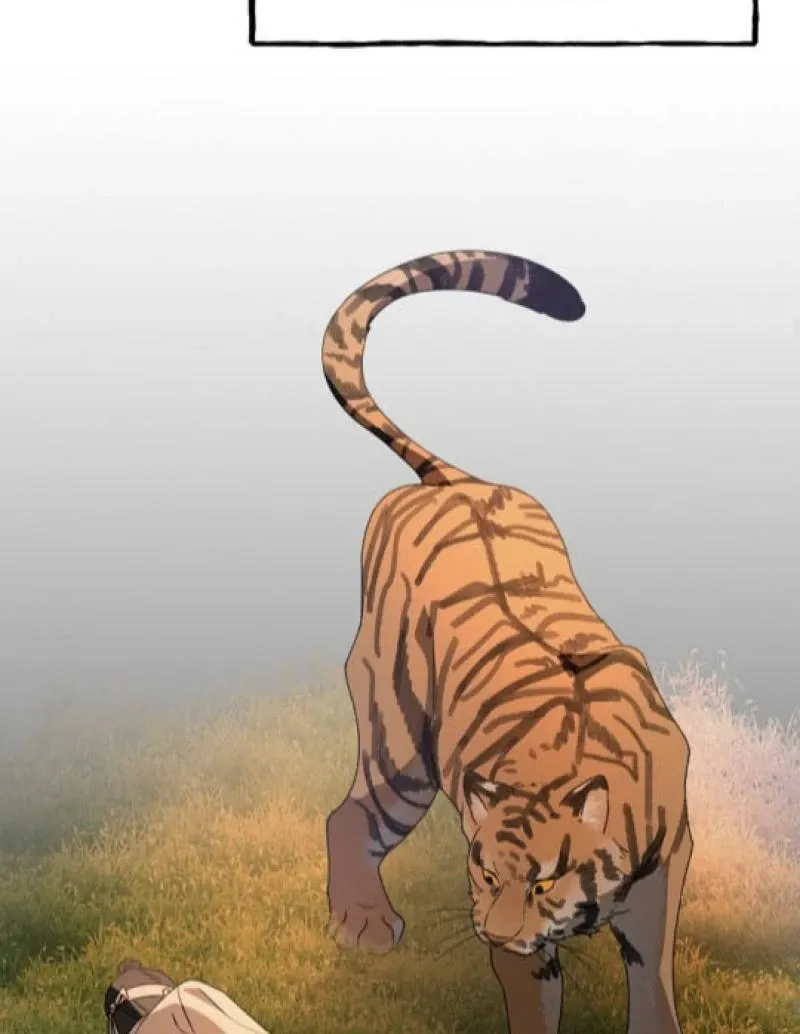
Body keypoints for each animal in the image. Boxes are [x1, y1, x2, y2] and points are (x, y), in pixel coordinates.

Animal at [321, 250, 693, 1034]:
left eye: (548, 878)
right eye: (486, 871)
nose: (491, 930)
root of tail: (451, 481)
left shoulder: (668, 861)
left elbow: (651, 971)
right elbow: (533, 994)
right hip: (401, 743)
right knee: (349, 814)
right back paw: (362, 921)